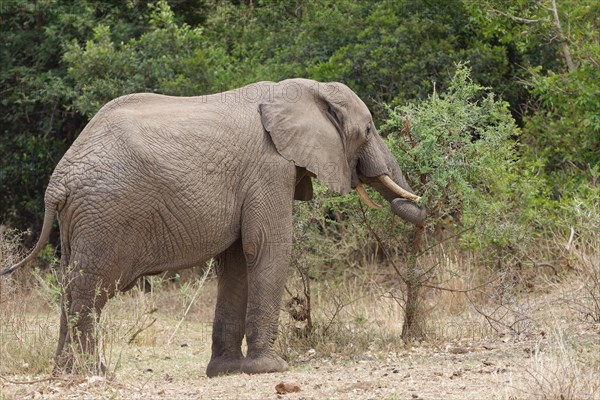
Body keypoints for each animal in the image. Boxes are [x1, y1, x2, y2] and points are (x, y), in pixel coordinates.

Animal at [0, 79, 424, 378]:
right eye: (367, 131)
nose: (419, 204)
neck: (304, 90)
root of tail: (57, 182)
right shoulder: (269, 167)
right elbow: (267, 246)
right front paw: (271, 369)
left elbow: (236, 261)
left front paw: (226, 372)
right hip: (105, 214)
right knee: (92, 288)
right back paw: (94, 375)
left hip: (81, 221)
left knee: (70, 283)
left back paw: (68, 374)